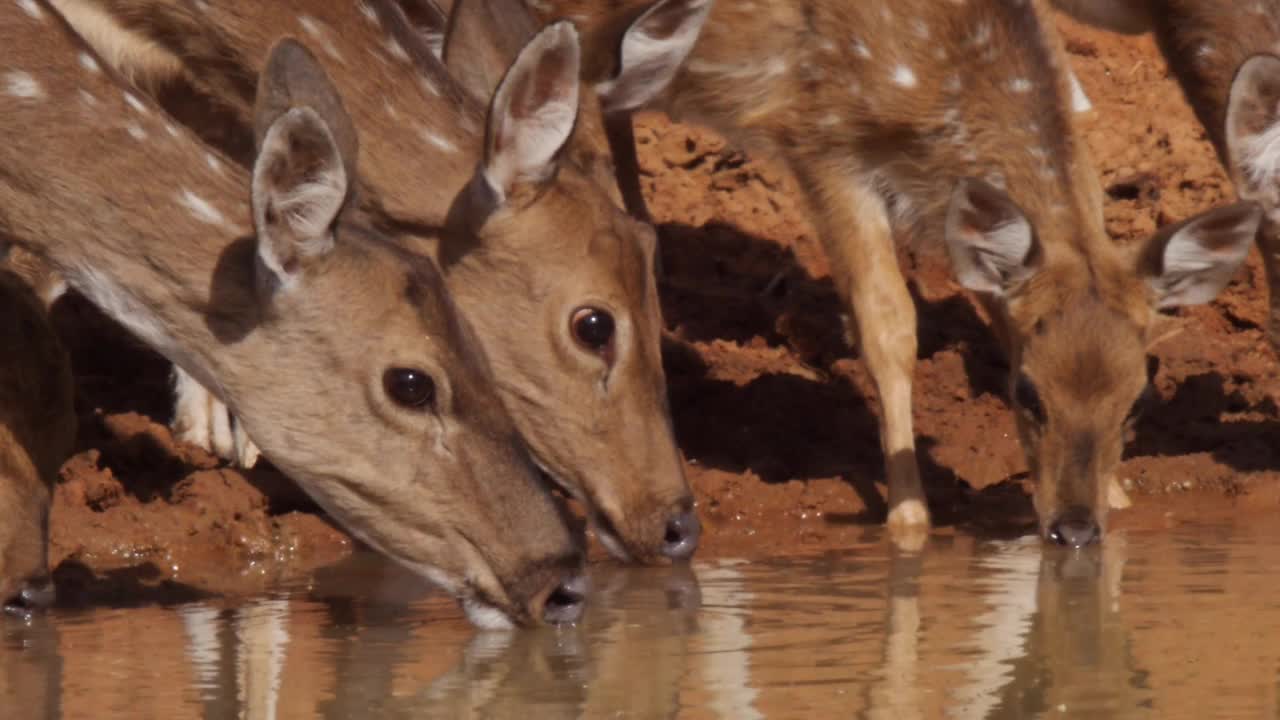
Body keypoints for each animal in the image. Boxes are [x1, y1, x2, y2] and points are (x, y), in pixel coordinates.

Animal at [514, 0, 1264, 543]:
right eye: (1027, 394)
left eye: (1139, 397)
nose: (1075, 529)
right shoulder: (818, 137)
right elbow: (887, 324)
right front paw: (909, 517)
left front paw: (1120, 495)